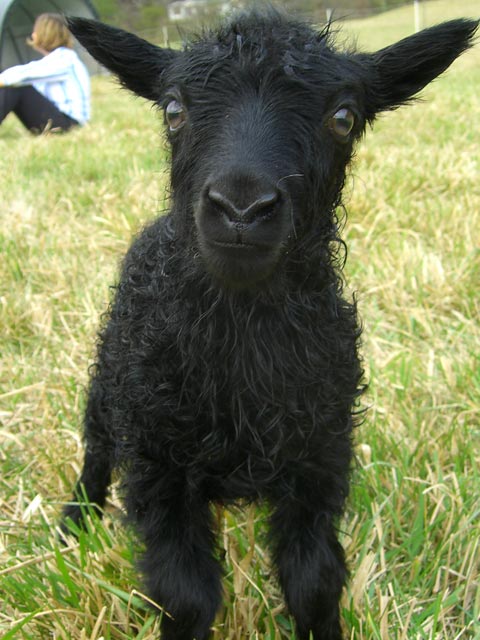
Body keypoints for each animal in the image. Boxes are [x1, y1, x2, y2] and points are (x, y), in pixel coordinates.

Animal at [62, 10, 478, 640]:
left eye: (343, 118)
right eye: (174, 109)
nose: (241, 208)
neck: (241, 348)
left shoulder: (320, 462)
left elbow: (315, 583)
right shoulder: (158, 469)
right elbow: (185, 597)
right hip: (111, 382)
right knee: (95, 448)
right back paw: (74, 519)